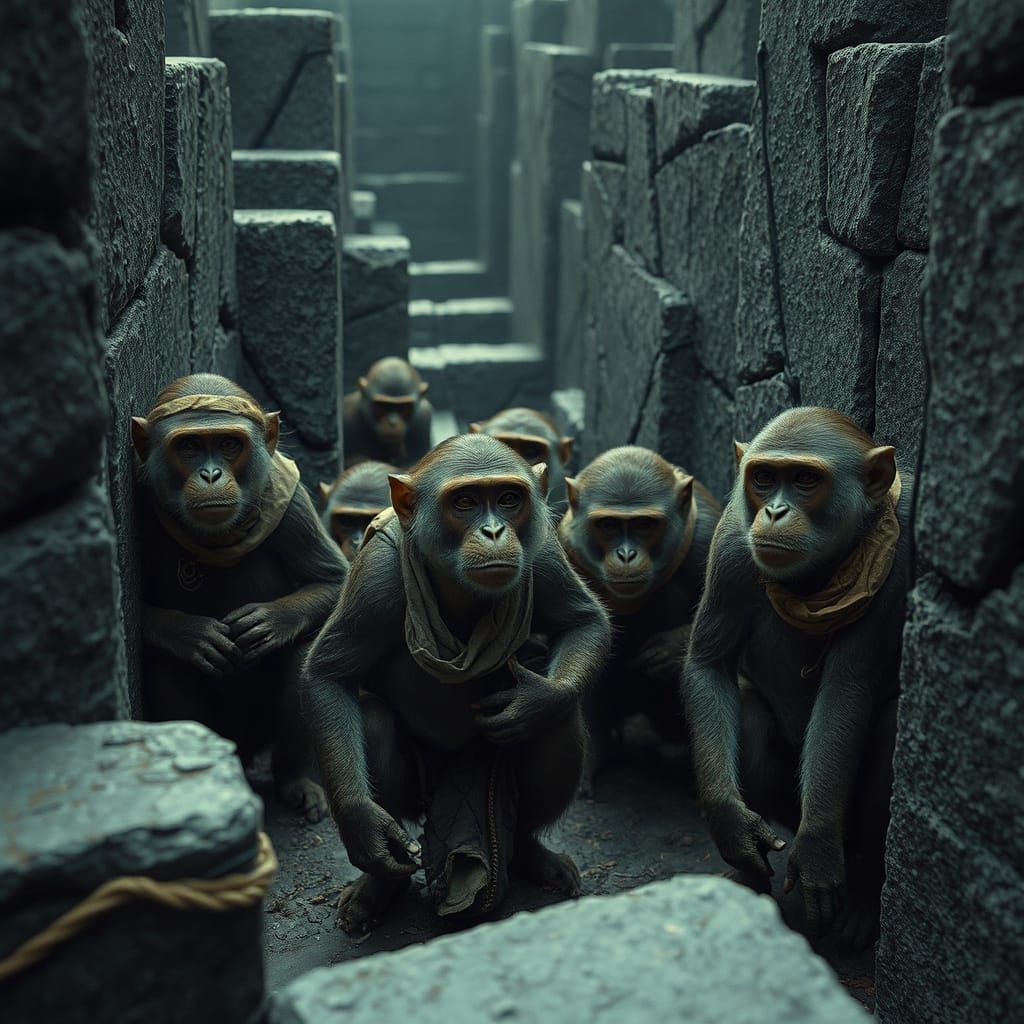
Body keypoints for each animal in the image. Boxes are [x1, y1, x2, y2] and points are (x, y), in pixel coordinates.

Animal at [132, 373, 348, 822]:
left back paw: (295, 778)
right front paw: (192, 633)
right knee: (169, 665)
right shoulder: (142, 502)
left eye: (229, 444)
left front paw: (270, 621)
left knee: (303, 652)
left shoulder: (292, 502)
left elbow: (332, 579)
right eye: (190, 447)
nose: (212, 473)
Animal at [302, 434, 612, 933]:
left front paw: (535, 701)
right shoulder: (376, 573)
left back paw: (529, 852)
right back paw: (379, 887)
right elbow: (332, 674)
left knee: (558, 724)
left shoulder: (543, 551)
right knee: (373, 721)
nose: (494, 532)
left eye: (508, 499)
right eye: (464, 502)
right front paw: (364, 828)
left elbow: (583, 623)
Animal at [557, 446, 721, 792]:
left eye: (644, 525)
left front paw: (670, 648)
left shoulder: (709, 538)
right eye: (608, 526)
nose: (626, 555)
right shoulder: (567, 550)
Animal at [683, 407, 910, 950]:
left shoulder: (894, 562)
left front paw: (818, 847)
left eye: (806, 480)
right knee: (746, 714)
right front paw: (729, 823)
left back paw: (864, 893)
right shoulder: (731, 540)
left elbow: (847, 690)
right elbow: (709, 663)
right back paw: (746, 882)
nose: (775, 511)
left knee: (890, 726)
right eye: (764, 478)